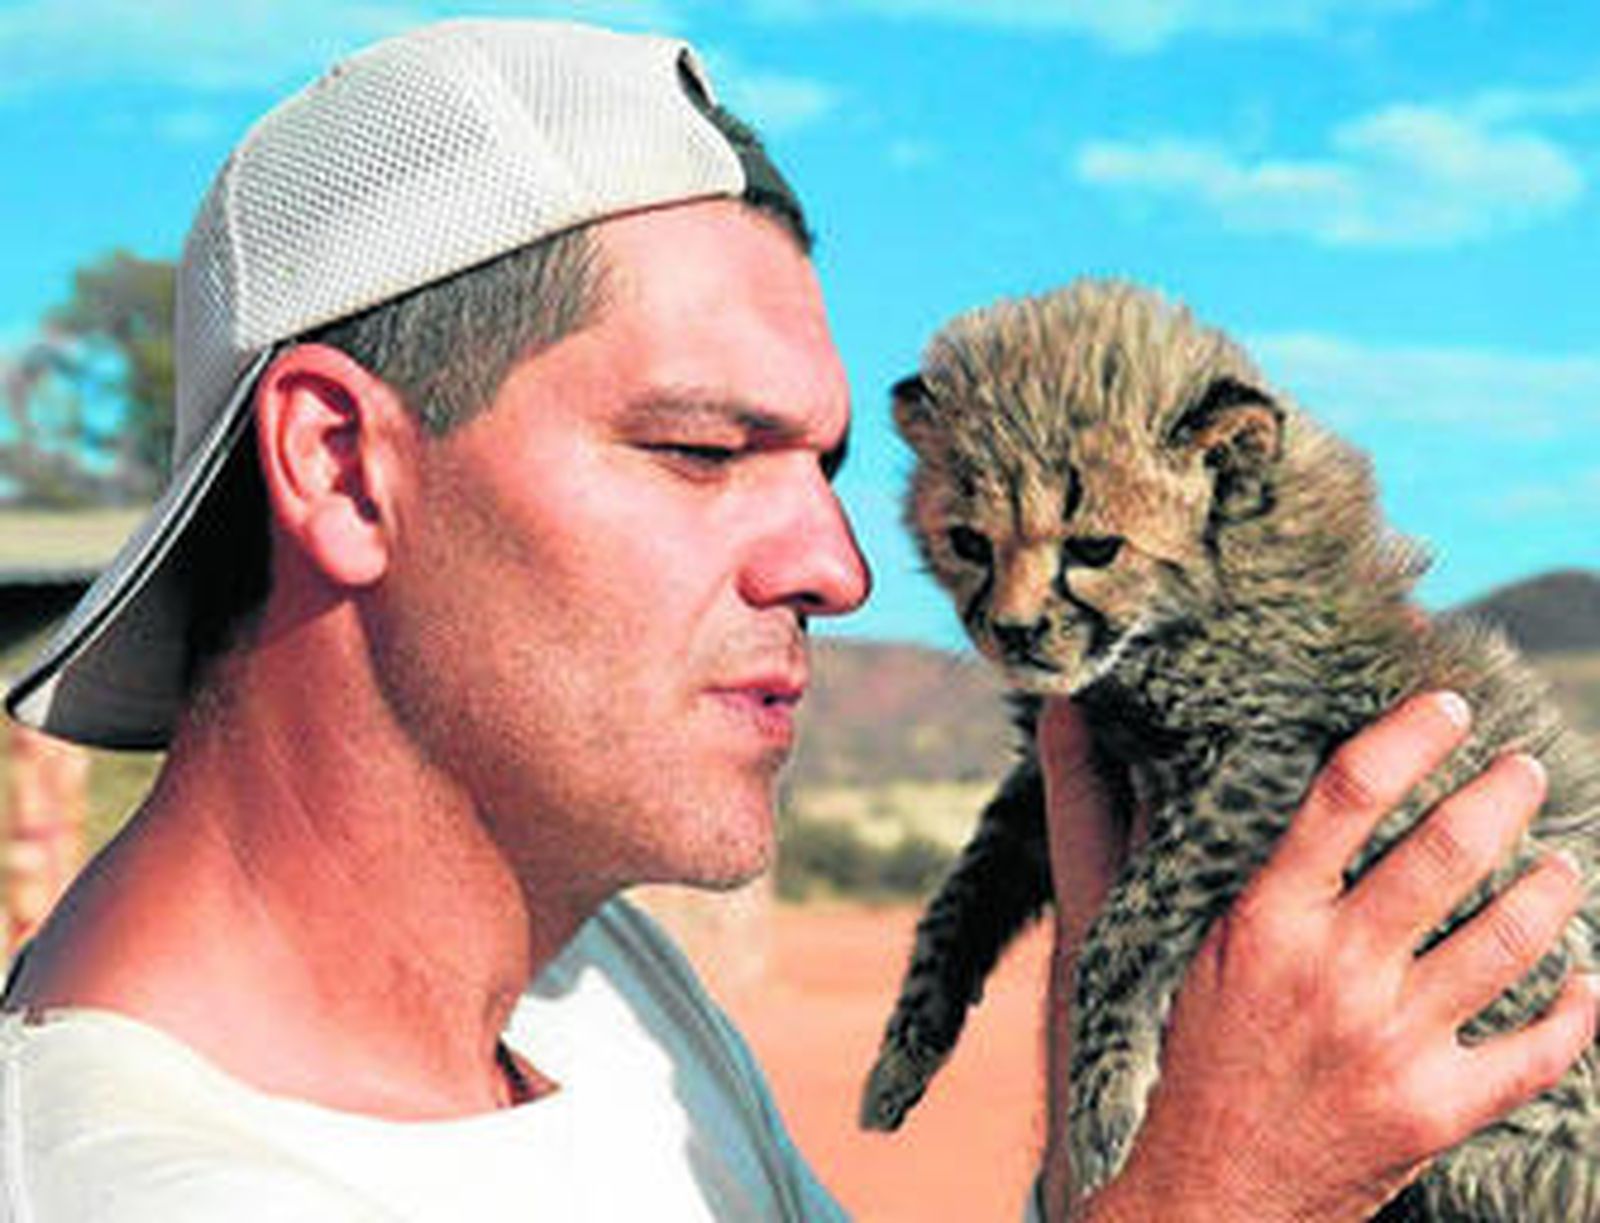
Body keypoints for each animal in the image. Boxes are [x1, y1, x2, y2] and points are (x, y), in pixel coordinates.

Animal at [859, 278, 1600, 1219]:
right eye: (968, 541)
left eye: (1094, 546)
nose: (1015, 632)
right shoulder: (1048, 774)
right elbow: (958, 897)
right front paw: (903, 1049)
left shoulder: (1262, 754)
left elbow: (1127, 918)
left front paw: (1104, 1096)